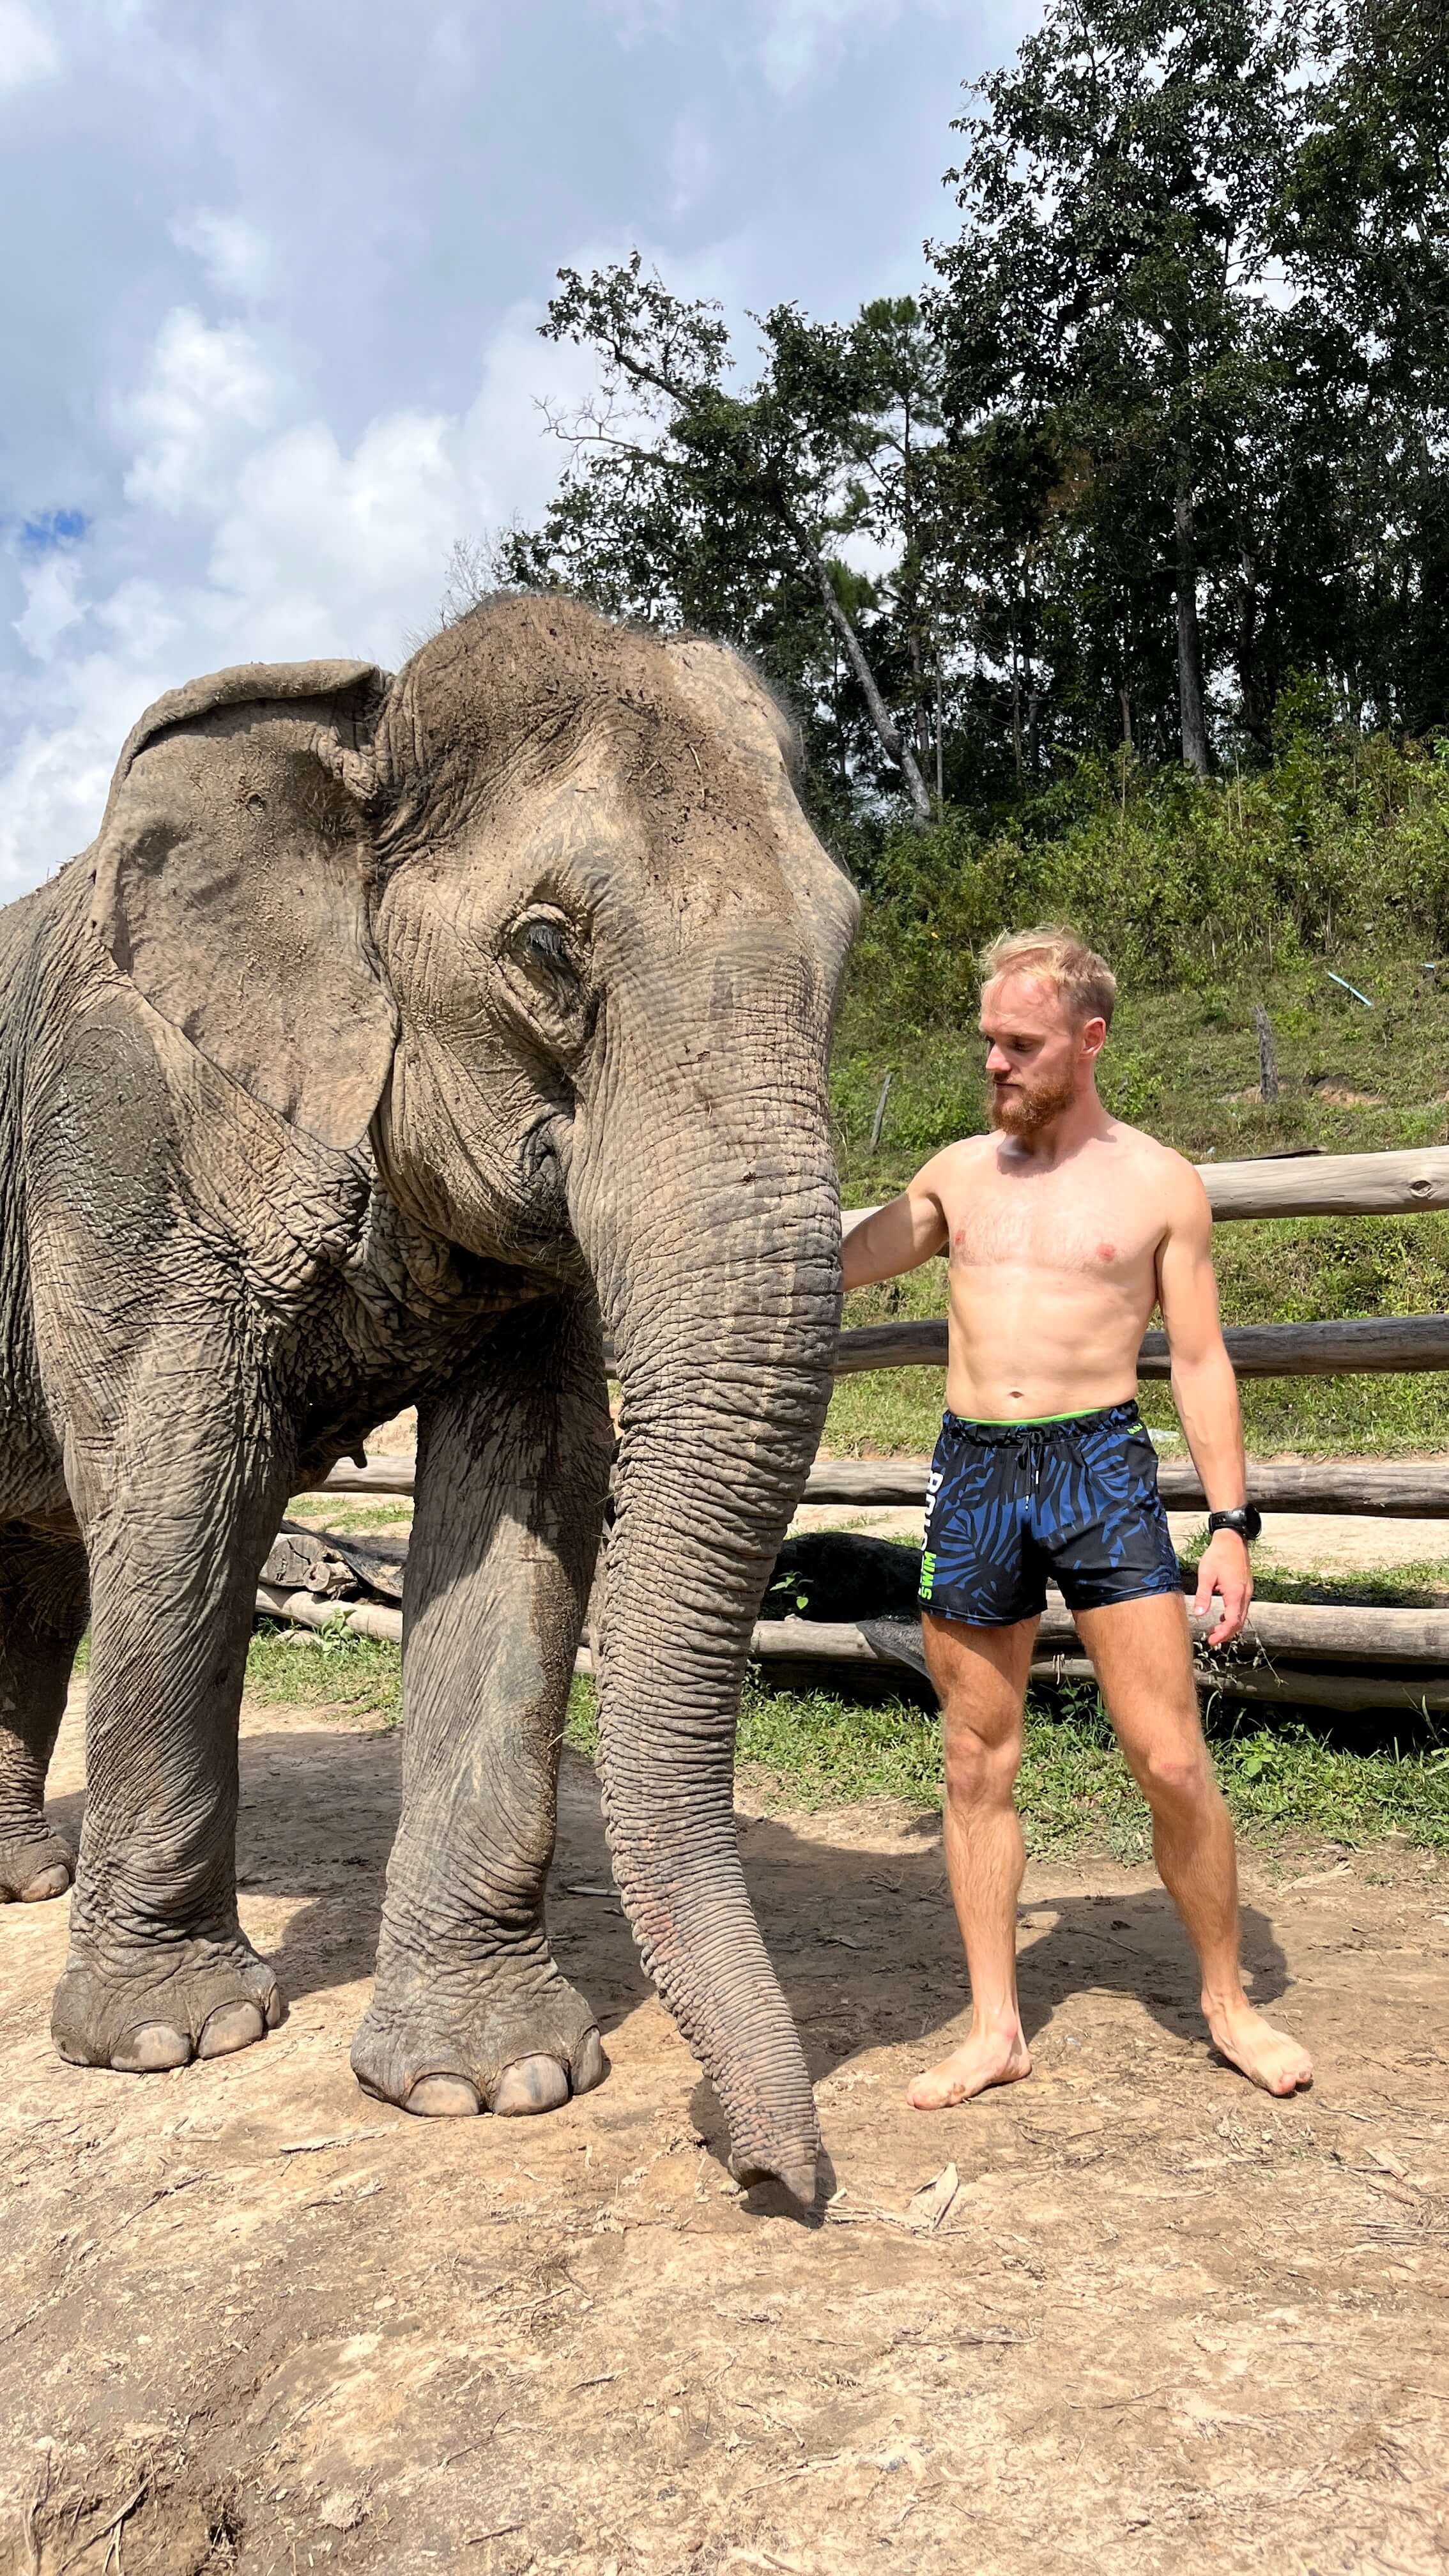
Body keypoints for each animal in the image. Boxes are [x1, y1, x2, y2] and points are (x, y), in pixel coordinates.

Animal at [0, 595, 857, 2205]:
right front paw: (171, 2041)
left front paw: (491, 2081)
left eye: (845, 941)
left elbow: (527, 1496)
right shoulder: (122, 1126)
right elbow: (180, 1489)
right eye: (546, 949)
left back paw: (25, 1879)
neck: (362, 721)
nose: (764, 2170)